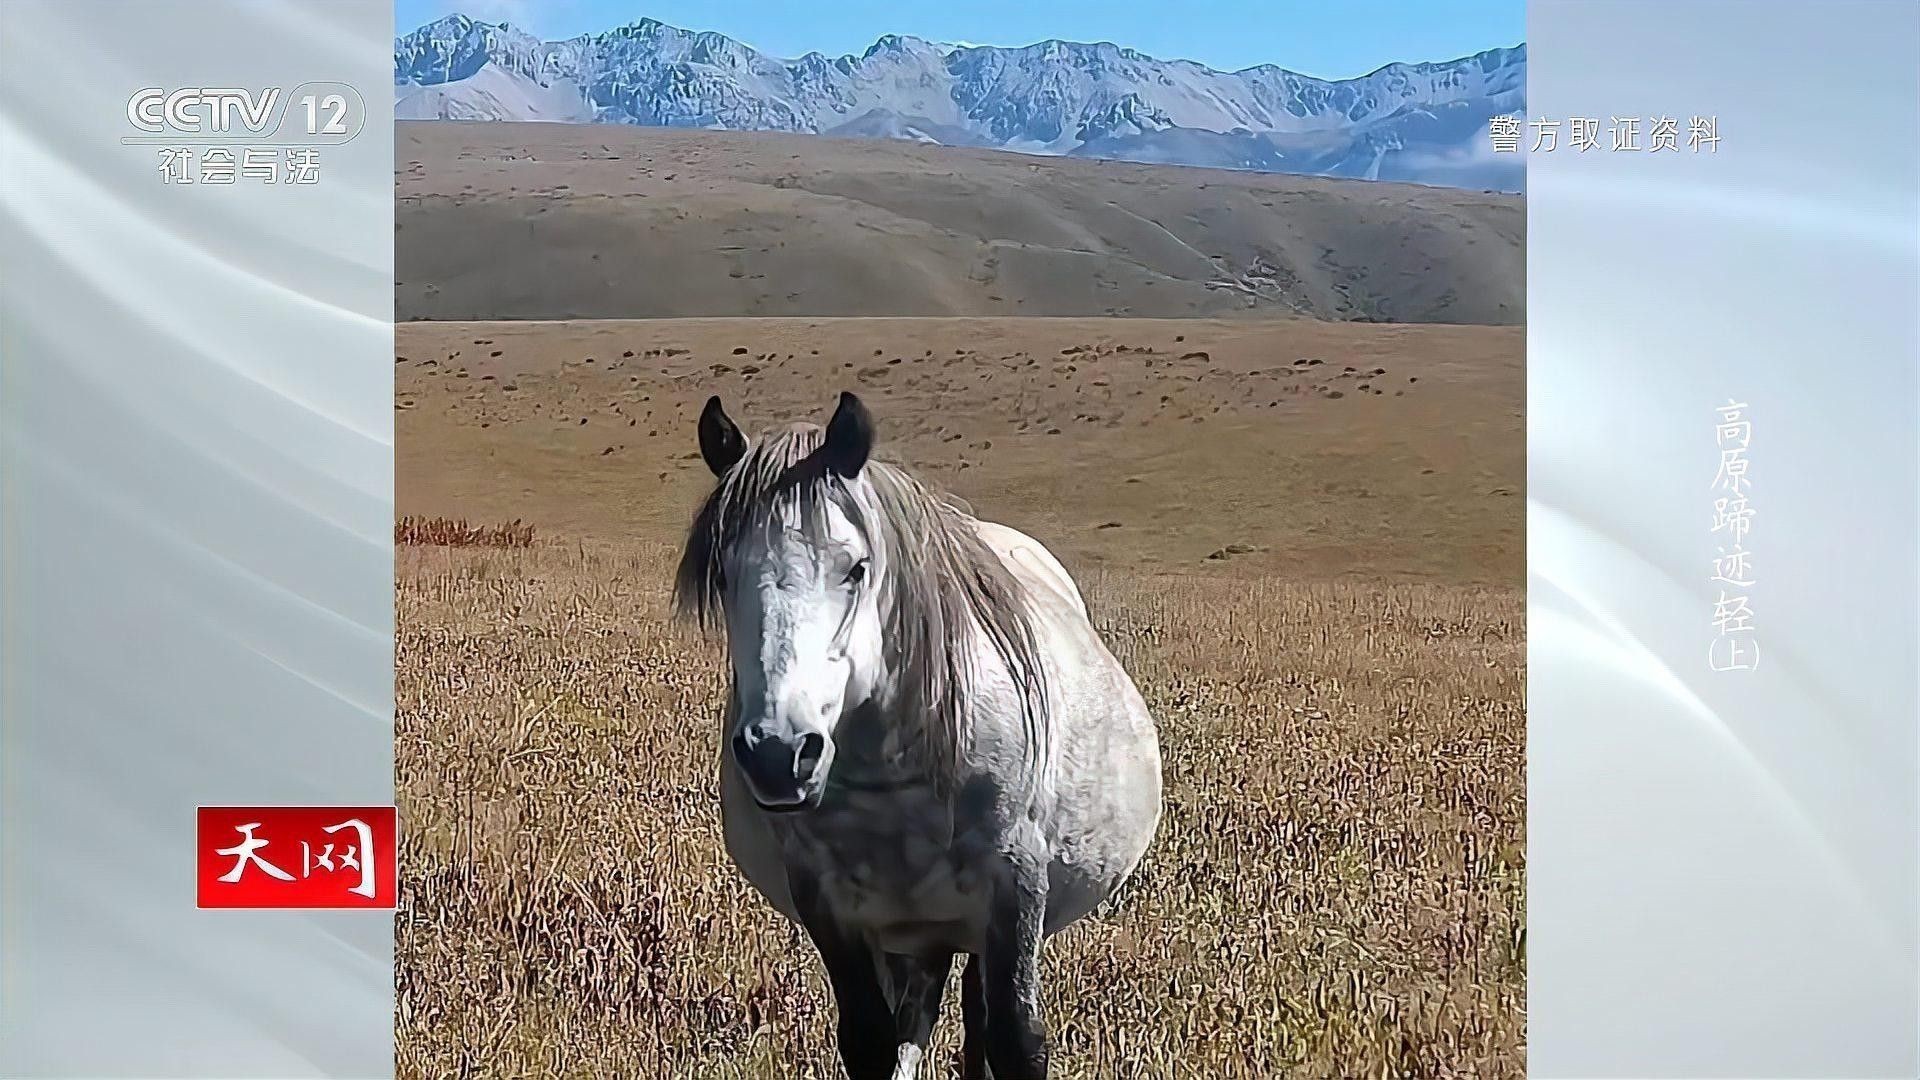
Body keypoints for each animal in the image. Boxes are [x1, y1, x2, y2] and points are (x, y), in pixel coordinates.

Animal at [675, 391, 1162, 1079]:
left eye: (855, 568)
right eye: (722, 574)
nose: (778, 754)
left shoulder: (1015, 890)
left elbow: (1015, 1041)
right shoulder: (829, 907)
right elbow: (872, 1041)